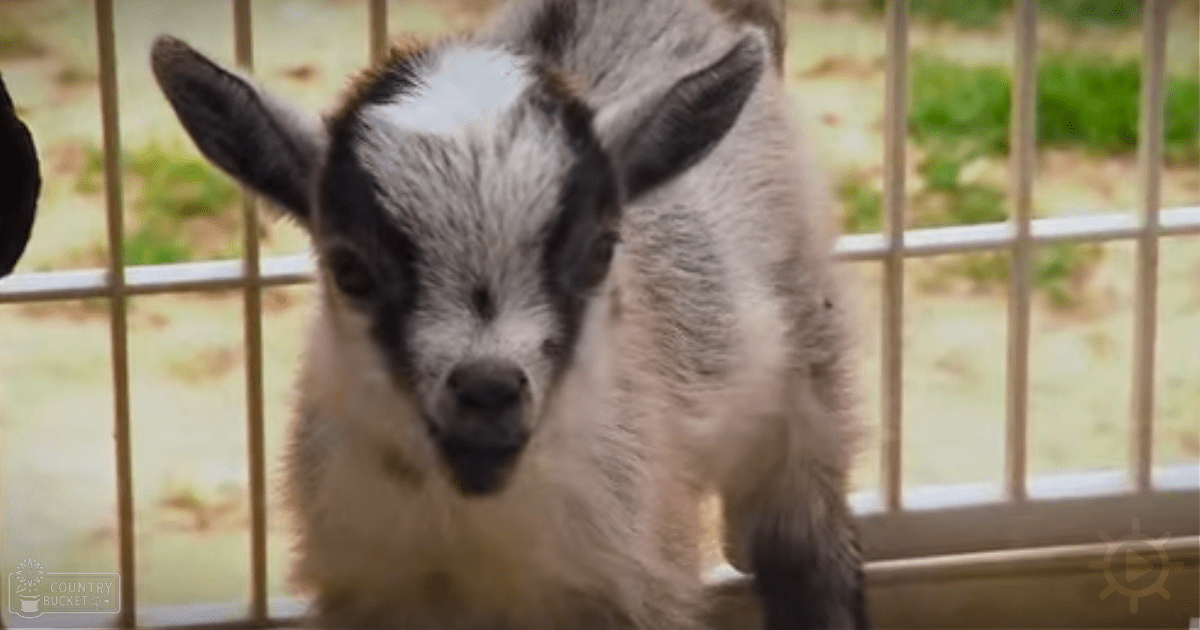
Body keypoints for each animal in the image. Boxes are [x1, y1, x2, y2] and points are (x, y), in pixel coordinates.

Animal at [151, 0, 868, 627]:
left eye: (599, 251)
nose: (488, 390)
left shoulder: (637, 575)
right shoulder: (365, 582)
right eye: (349, 267)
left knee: (806, 545)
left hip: (808, 384)